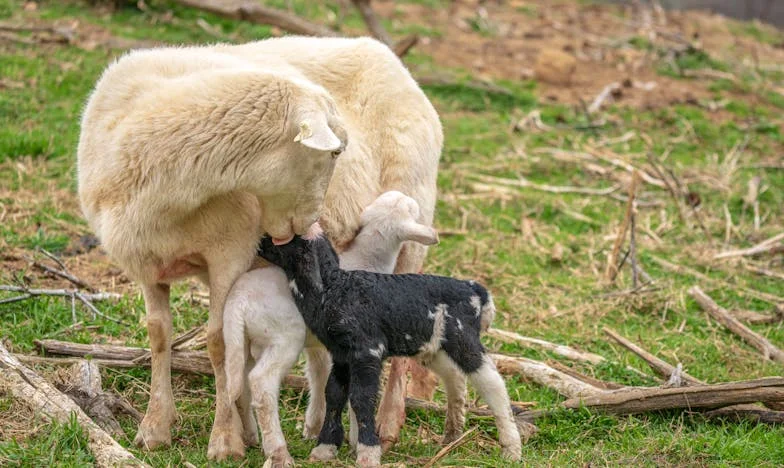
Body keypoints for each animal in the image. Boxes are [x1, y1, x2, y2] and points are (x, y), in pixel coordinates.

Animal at [224, 191, 438, 468]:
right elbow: (358, 396)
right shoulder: (363, 350)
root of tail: (238, 302)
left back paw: (251, 437)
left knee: (239, 383)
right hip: (284, 339)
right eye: (411, 208)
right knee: (262, 383)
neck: (369, 259)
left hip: (244, 342)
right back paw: (278, 451)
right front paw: (359, 442)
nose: (405, 195)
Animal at [258, 227, 520, 464]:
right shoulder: (341, 354)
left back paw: (511, 449)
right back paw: (452, 435)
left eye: (282, 237)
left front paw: (368, 453)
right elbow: (334, 394)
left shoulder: (367, 350)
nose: (259, 241)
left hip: (462, 337)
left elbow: (362, 397)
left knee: (493, 383)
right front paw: (325, 448)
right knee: (454, 376)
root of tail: (475, 289)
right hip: (433, 345)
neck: (334, 289)